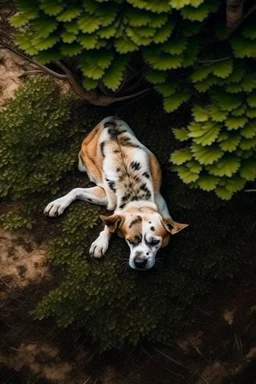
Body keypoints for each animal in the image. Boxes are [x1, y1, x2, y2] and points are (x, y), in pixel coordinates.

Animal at [44, 117, 188, 270]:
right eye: (130, 240)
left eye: (155, 242)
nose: (140, 262)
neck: (136, 195)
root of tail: (111, 118)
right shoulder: (108, 199)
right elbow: (109, 221)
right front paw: (101, 242)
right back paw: (58, 203)